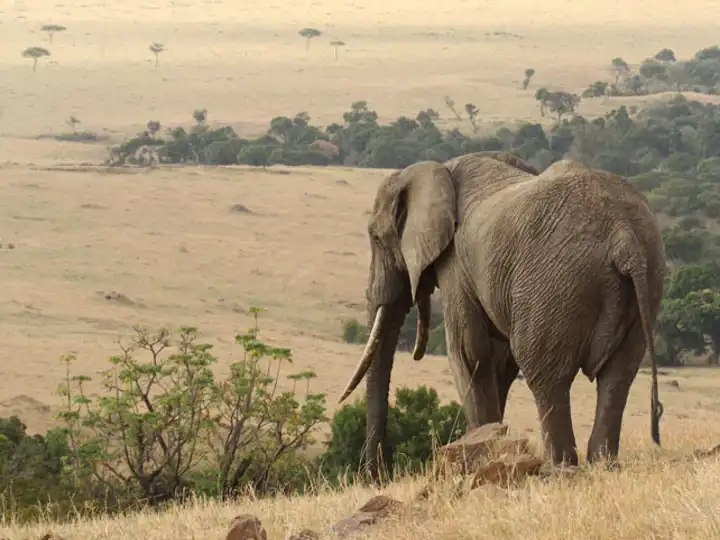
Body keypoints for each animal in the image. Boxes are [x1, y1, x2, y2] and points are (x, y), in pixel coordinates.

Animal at [336, 151, 664, 480]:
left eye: (377, 238)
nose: (374, 478)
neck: (437, 170)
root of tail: (623, 233)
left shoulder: (455, 264)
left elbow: (470, 353)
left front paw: (478, 457)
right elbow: (498, 361)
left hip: (556, 283)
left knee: (546, 374)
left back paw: (557, 469)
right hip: (645, 281)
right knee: (617, 376)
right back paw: (603, 465)